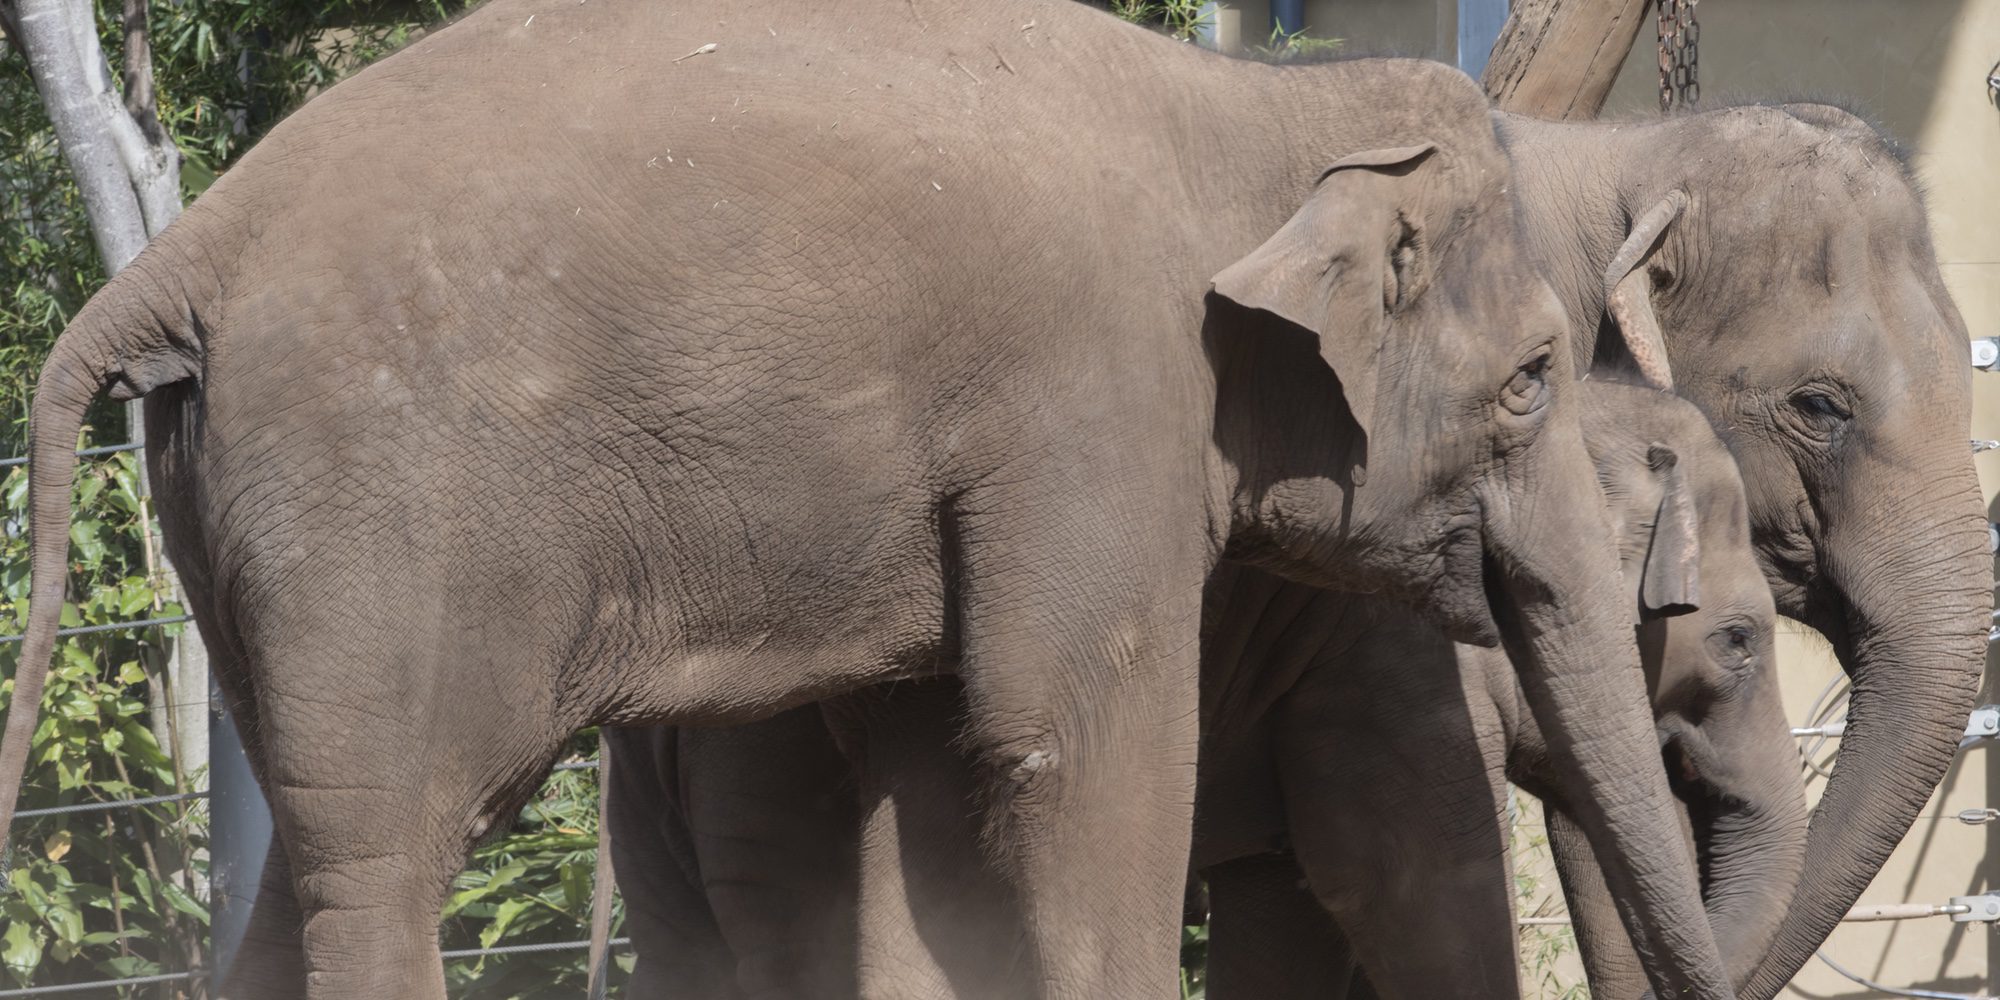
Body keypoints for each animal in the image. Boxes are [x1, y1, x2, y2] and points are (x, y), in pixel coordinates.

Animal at [0, 1, 1728, 1000]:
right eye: (1533, 379)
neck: (1252, 106)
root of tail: (183, 255)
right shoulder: (1100, 400)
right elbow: (1071, 745)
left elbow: (936, 790)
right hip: (369, 511)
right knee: (383, 854)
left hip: (241, 515)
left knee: (317, 859)